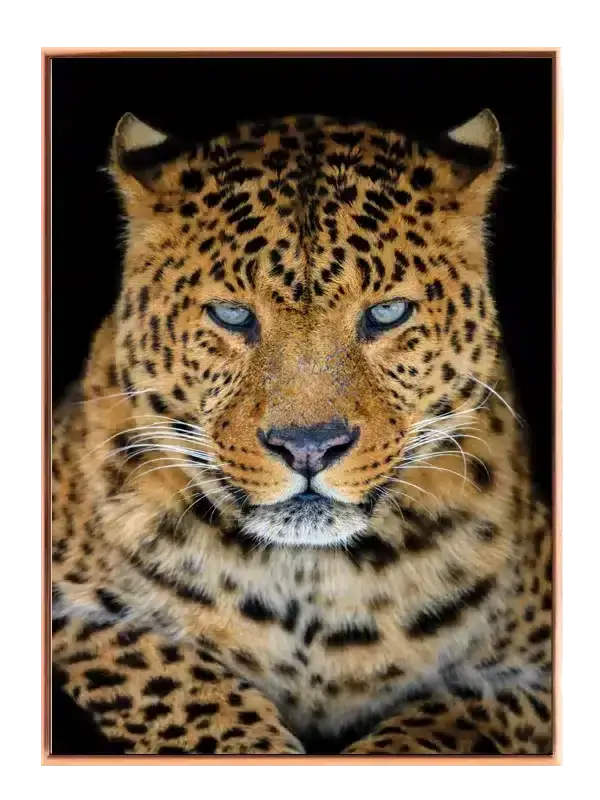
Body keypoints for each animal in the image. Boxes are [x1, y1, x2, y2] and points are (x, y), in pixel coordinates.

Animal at [50, 109, 553, 757]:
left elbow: (439, 723)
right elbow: (180, 684)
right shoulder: (75, 615)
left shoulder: (534, 670)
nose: (309, 447)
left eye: (387, 313)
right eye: (232, 315)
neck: (311, 577)